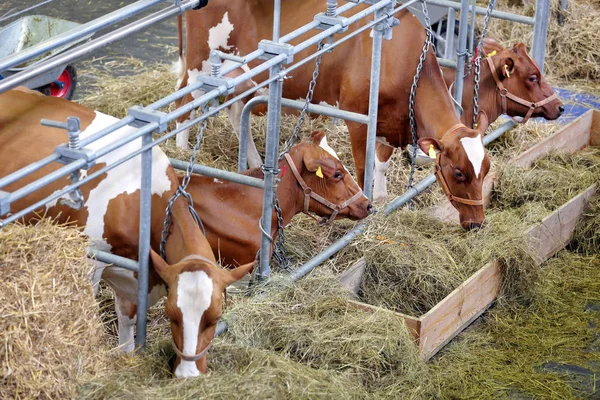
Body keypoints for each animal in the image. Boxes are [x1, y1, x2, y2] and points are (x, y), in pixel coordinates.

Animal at [0, 87, 252, 378]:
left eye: (216, 317)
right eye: (171, 315)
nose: (188, 375)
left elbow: (128, 316)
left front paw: (127, 354)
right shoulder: (90, 261)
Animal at [176, 3, 494, 228]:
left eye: (487, 168)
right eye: (458, 172)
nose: (478, 223)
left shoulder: (391, 121)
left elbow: (381, 164)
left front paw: (382, 201)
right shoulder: (358, 116)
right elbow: (364, 168)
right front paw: (367, 209)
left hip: (241, 74)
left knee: (234, 107)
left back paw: (254, 161)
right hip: (200, 64)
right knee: (183, 104)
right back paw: (179, 153)